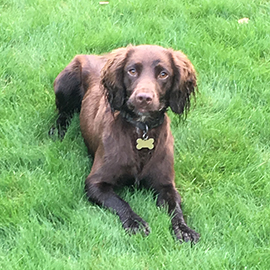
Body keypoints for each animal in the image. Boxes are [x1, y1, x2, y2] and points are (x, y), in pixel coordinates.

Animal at [53, 44, 200, 243]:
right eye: (132, 71)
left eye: (163, 74)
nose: (144, 98)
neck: (142, 129)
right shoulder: (95, 183)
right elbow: (121, 202)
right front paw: (135, 222)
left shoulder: (166, 184)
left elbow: (175, 208)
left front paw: (184, 229)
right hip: (65, 83)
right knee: (63, 112)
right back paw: (58, 130)